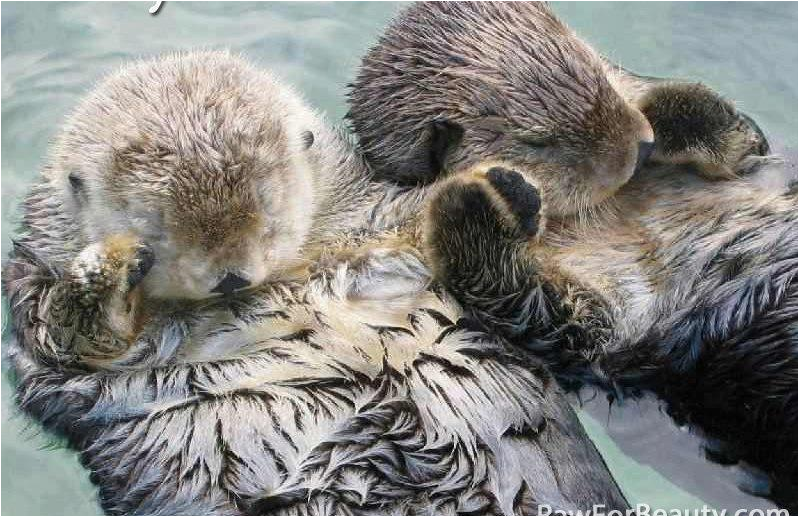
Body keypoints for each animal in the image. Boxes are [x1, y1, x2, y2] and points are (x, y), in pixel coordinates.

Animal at [3, 52, 630, 515]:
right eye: (155, 229)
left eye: (269, 210)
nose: (231, 277)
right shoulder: (43, 319)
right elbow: (73, 340)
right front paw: (109, 263)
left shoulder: (378, 227)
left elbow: (582, 327)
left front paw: (501, 189)